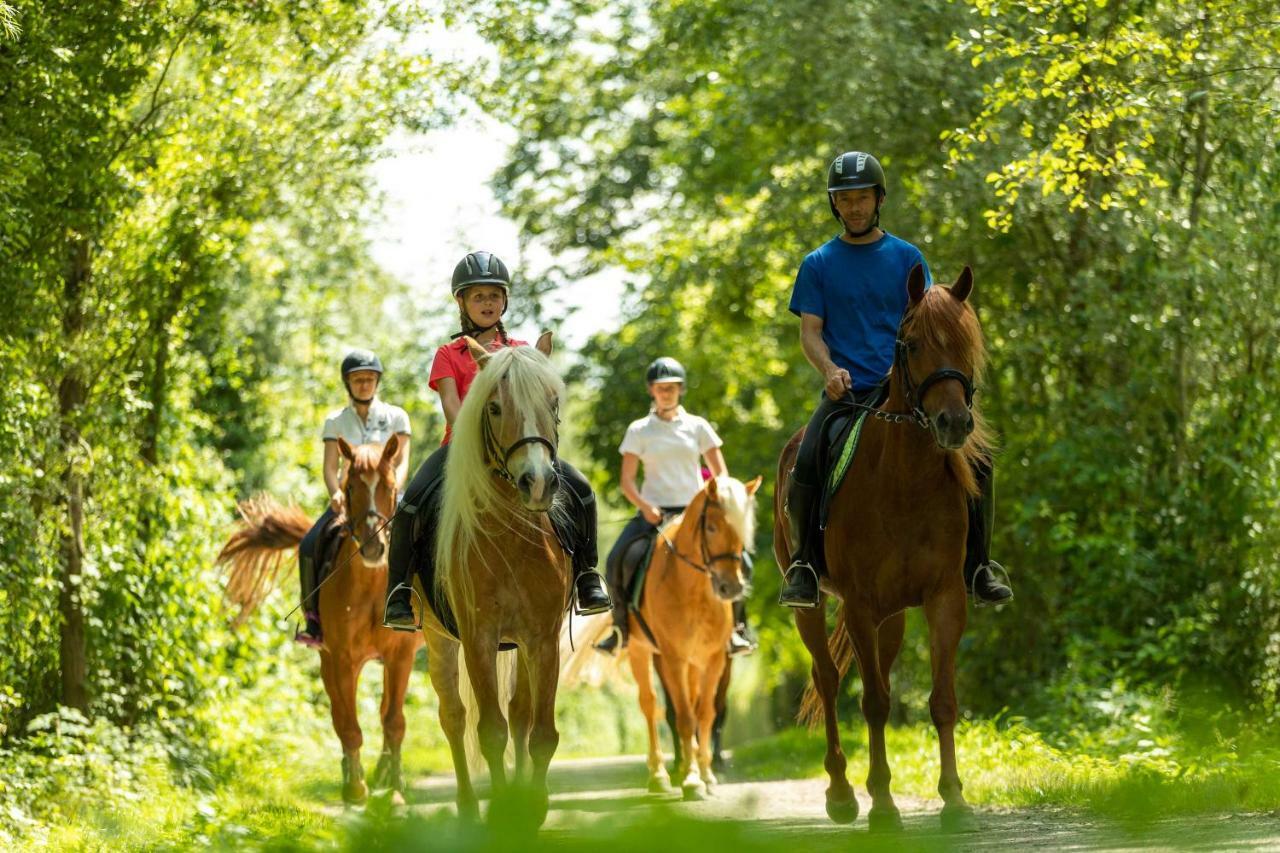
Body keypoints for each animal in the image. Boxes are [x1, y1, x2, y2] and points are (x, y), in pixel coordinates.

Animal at [217, 435, 422, 799]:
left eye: (390, 486)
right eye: (350, 486)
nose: (374, 548)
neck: (371, 586)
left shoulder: (400, 655)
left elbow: (394, 721)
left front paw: (395, 788)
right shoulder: (341, 658)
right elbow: (349, 725)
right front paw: (355, 788)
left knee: (385, 711)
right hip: (332, 662)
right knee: (340, 714)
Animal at [414, 333, 570, 824]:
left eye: (553, 402)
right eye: (496, 407)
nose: (537, 482)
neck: (512, 537)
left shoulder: (542, 638)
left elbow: (540, 731)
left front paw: (530, 808)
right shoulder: (478, 639)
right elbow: (490, 732)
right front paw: (501, 814)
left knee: (518, 712)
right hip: (439, 640)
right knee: (453, 716)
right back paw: (467, 809)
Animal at [622, 471, 752, 799]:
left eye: (744, 528)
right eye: (711, 527)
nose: (730, 588)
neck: (693, 587)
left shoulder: (715, 658)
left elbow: (704, 713)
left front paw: (706, 774)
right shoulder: (674, 657)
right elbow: (683, 716)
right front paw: (692, 780)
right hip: (641, 651)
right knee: (650, 704)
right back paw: (659, 775)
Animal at [773, 266, 993, 829]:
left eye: (967, 344)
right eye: (912, 344)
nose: (954, 424)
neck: (906, 480)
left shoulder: (944, 598)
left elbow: (941, 700)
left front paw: (954, 798)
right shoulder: (858, 604)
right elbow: (871, 702)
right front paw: (884, 806)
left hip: (893, 615)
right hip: (813, 605)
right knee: (828, 680)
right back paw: (841, 793)